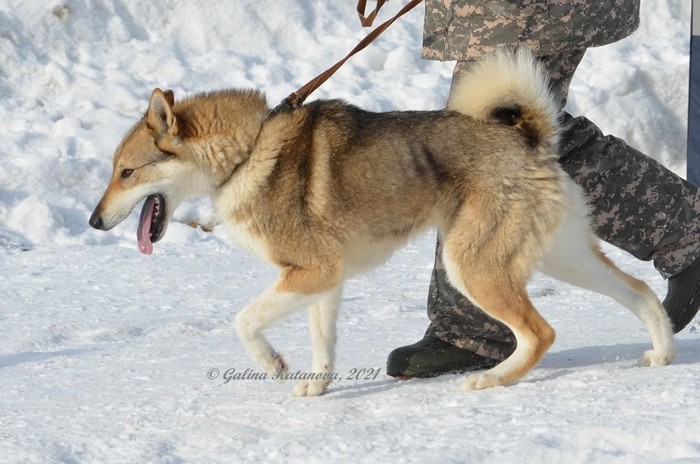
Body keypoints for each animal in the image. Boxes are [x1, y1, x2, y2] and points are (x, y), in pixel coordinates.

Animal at [89, 50, 675, 396]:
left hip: (472, 266)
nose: (94, 222)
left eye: (126, 172)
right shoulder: (323, 280)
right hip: (560, 256)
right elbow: (323, 343)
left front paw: (273, 365)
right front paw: (316, 387)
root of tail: (529, 140)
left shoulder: (309, 273)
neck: (248, 151)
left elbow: (245, 321)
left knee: (541, 332)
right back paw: (663, 353)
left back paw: (491, 378)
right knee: (640, 290)